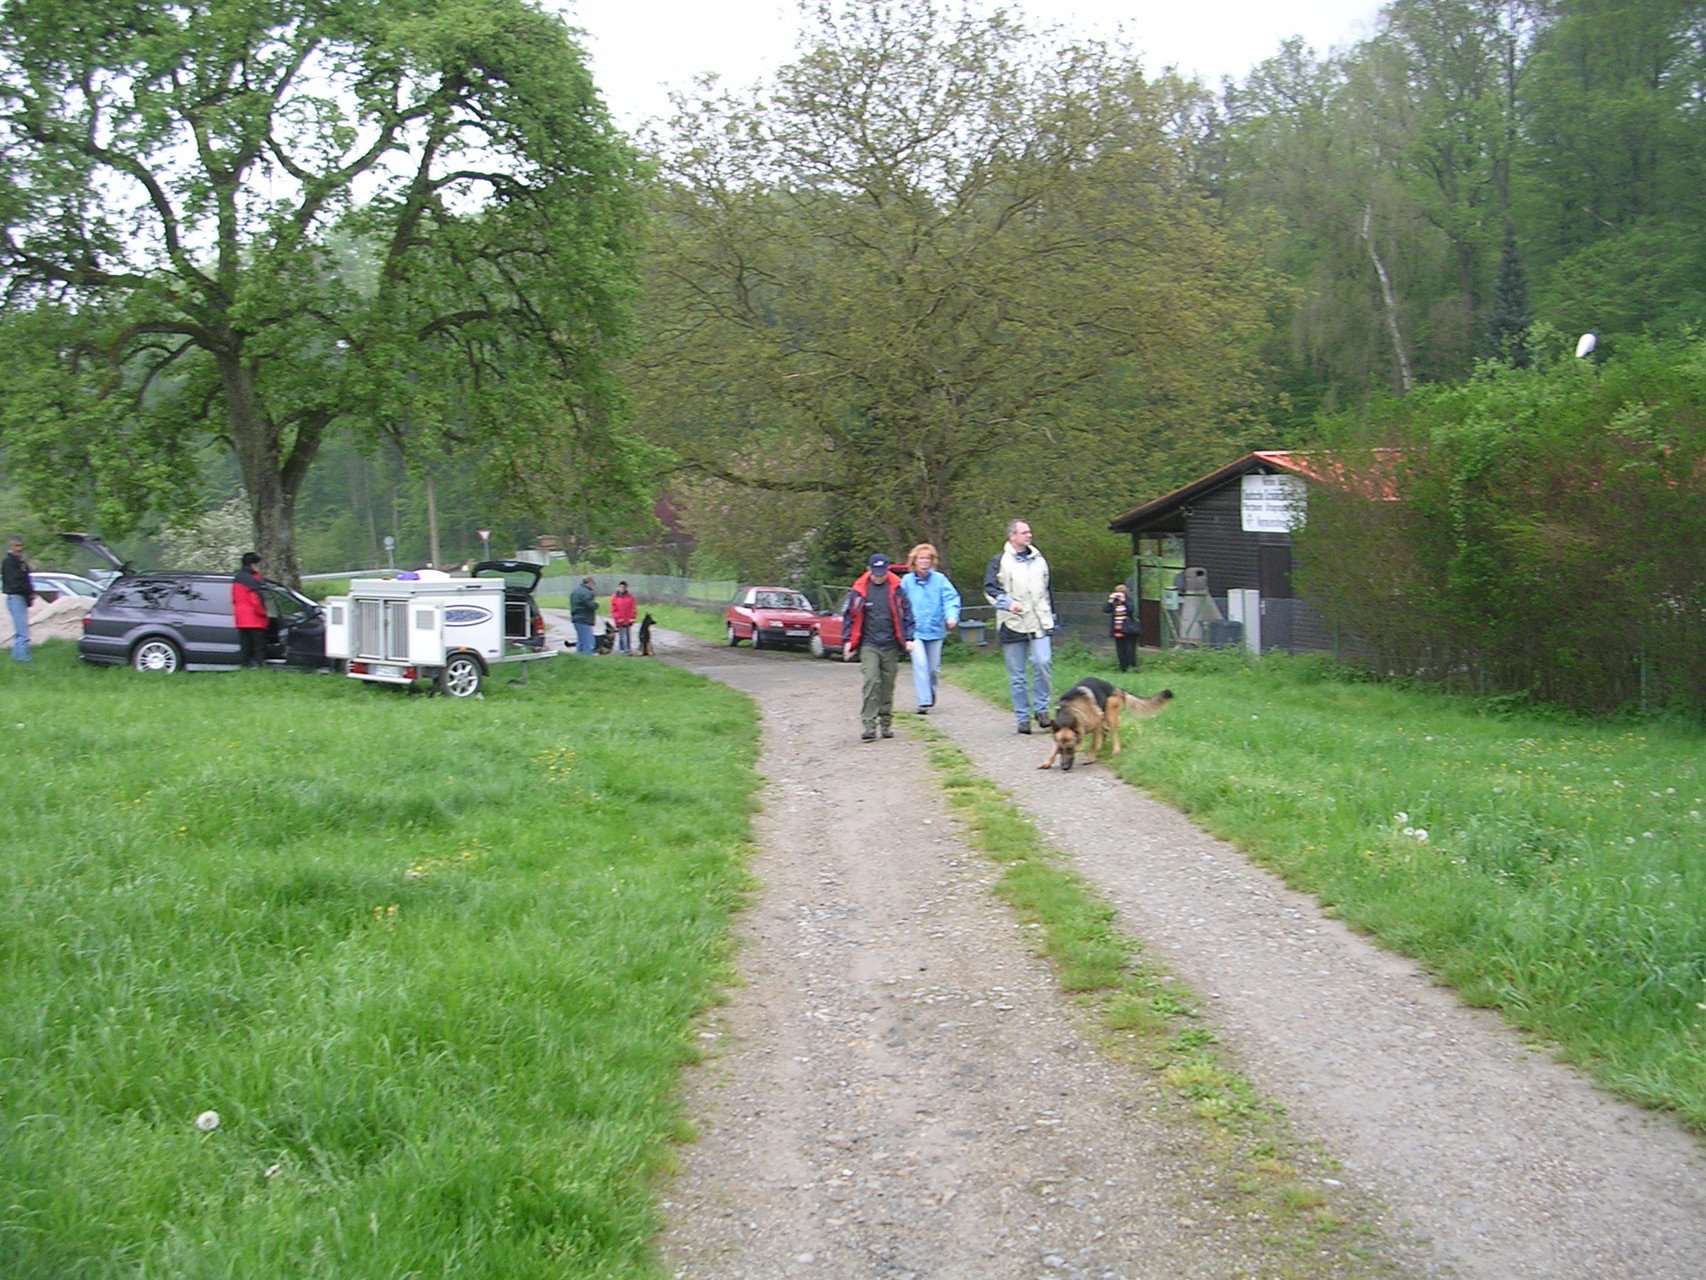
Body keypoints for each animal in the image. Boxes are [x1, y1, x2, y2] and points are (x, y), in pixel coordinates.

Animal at [1037, 675, 1173, 778]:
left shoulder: (1096, 723)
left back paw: (1115, 750)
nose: (1064, 768)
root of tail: (1116, 688)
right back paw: (1101, 747)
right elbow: (1053, 750)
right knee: (1104, 732)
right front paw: (1048, 761)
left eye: (1071, 749)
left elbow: (1093, 743)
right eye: (1061, 750)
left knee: (1112, 733)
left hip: (1109, 714)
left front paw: (1091, 757)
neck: (1069, 712)